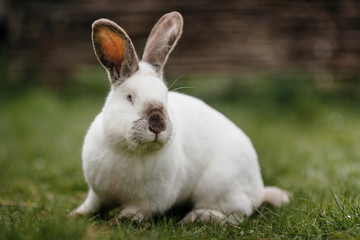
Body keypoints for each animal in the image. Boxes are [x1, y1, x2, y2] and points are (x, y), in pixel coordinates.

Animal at [71, 11, 290, 224]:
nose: (157, 125)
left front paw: (122, 219)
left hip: (219, 188)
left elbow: (136, 212)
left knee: (237, 214)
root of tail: (258, 190)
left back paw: (197, 217)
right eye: (130, 97)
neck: (129, 150)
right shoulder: (97, 194)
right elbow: (92, 205)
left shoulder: (148, 201)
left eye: (166, 97)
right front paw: (75, 214)